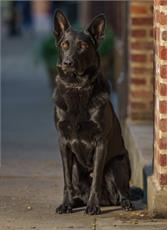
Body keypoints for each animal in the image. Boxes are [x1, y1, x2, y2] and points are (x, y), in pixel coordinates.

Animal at [52, 10, 134, 216]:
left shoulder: (100, 142)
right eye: (65, 45)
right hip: (76, 167)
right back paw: (74, 202)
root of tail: (108, 200)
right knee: (76, 188)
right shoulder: (63, 142)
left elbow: (96, 178)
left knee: (123, 191)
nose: (68, 62)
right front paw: (66, 204)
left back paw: (125, 203)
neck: (77, 87)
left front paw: (92, 206)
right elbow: (66, 180)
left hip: (117, 165)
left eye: (82, 46)